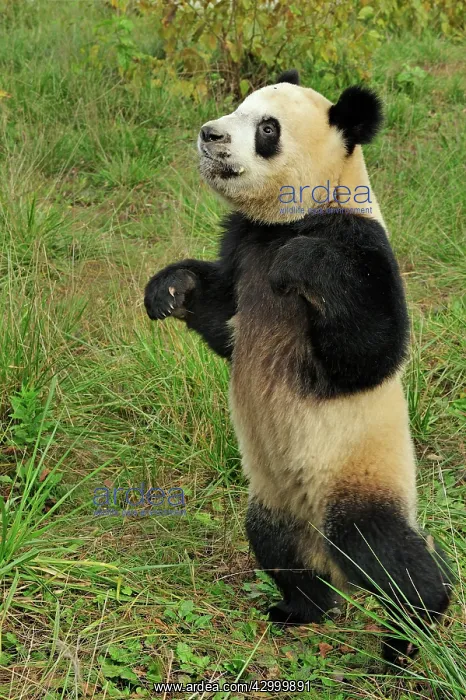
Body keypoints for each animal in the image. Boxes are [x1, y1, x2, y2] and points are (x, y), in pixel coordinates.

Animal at [144, 69, 452, 664]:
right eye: (237, 108)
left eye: (267, 128)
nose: (210, 134)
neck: (287, 221)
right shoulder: (243, 243)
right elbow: (223, 320)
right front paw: (170, 289)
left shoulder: (358, 240)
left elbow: (371, 352)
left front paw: (300, 264)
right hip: (274, 498)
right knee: (278, 547)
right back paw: (299, 608)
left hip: (356, 475)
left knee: (383, 551)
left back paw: (413, 628)